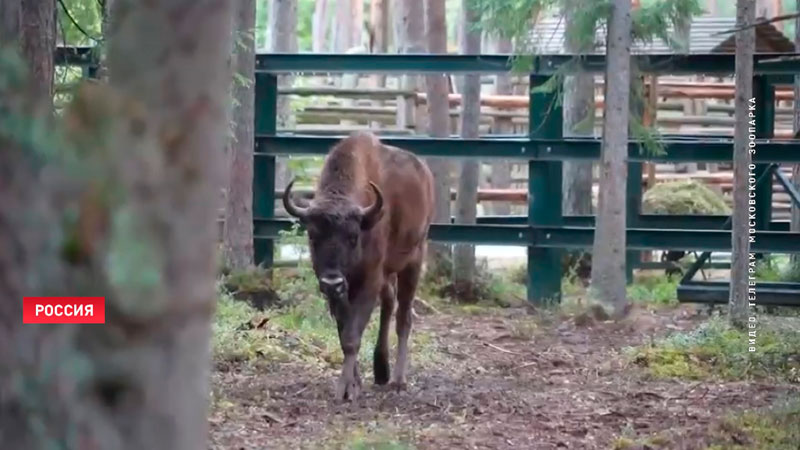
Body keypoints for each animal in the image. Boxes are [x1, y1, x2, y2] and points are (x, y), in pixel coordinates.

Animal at [280, 130, 432, 400]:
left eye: (353, 236)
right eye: (313, 236)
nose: (332, 281)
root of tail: (425, 174)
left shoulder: (369, 280)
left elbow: (353, 335)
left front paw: (344, 389)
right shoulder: (340, 290)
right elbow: (345, 332)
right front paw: (355, 383)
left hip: (413, 260)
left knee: (403, 317)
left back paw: (398, 380)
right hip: (388, 273)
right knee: (388, 305)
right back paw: (381, 371)